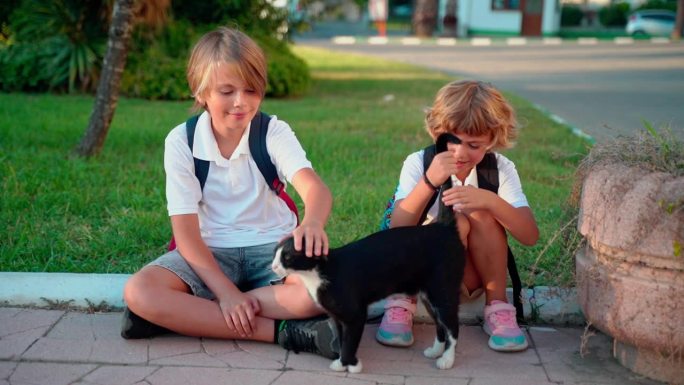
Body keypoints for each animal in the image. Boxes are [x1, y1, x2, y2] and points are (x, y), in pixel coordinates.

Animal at [272, 133, 464, 372]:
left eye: (287, 257)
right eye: (275, 254)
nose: (273, 266)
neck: (318, 274)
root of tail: (443, 226)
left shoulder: (355, 314)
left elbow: (350, 341)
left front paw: (352, 365)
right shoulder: (337, 317)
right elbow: (341, 338)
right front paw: (340, 363)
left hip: (442, 289)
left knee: (452, 326)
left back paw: (447, 360)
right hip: (429, 294)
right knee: (440, 324)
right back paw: (435, 351)